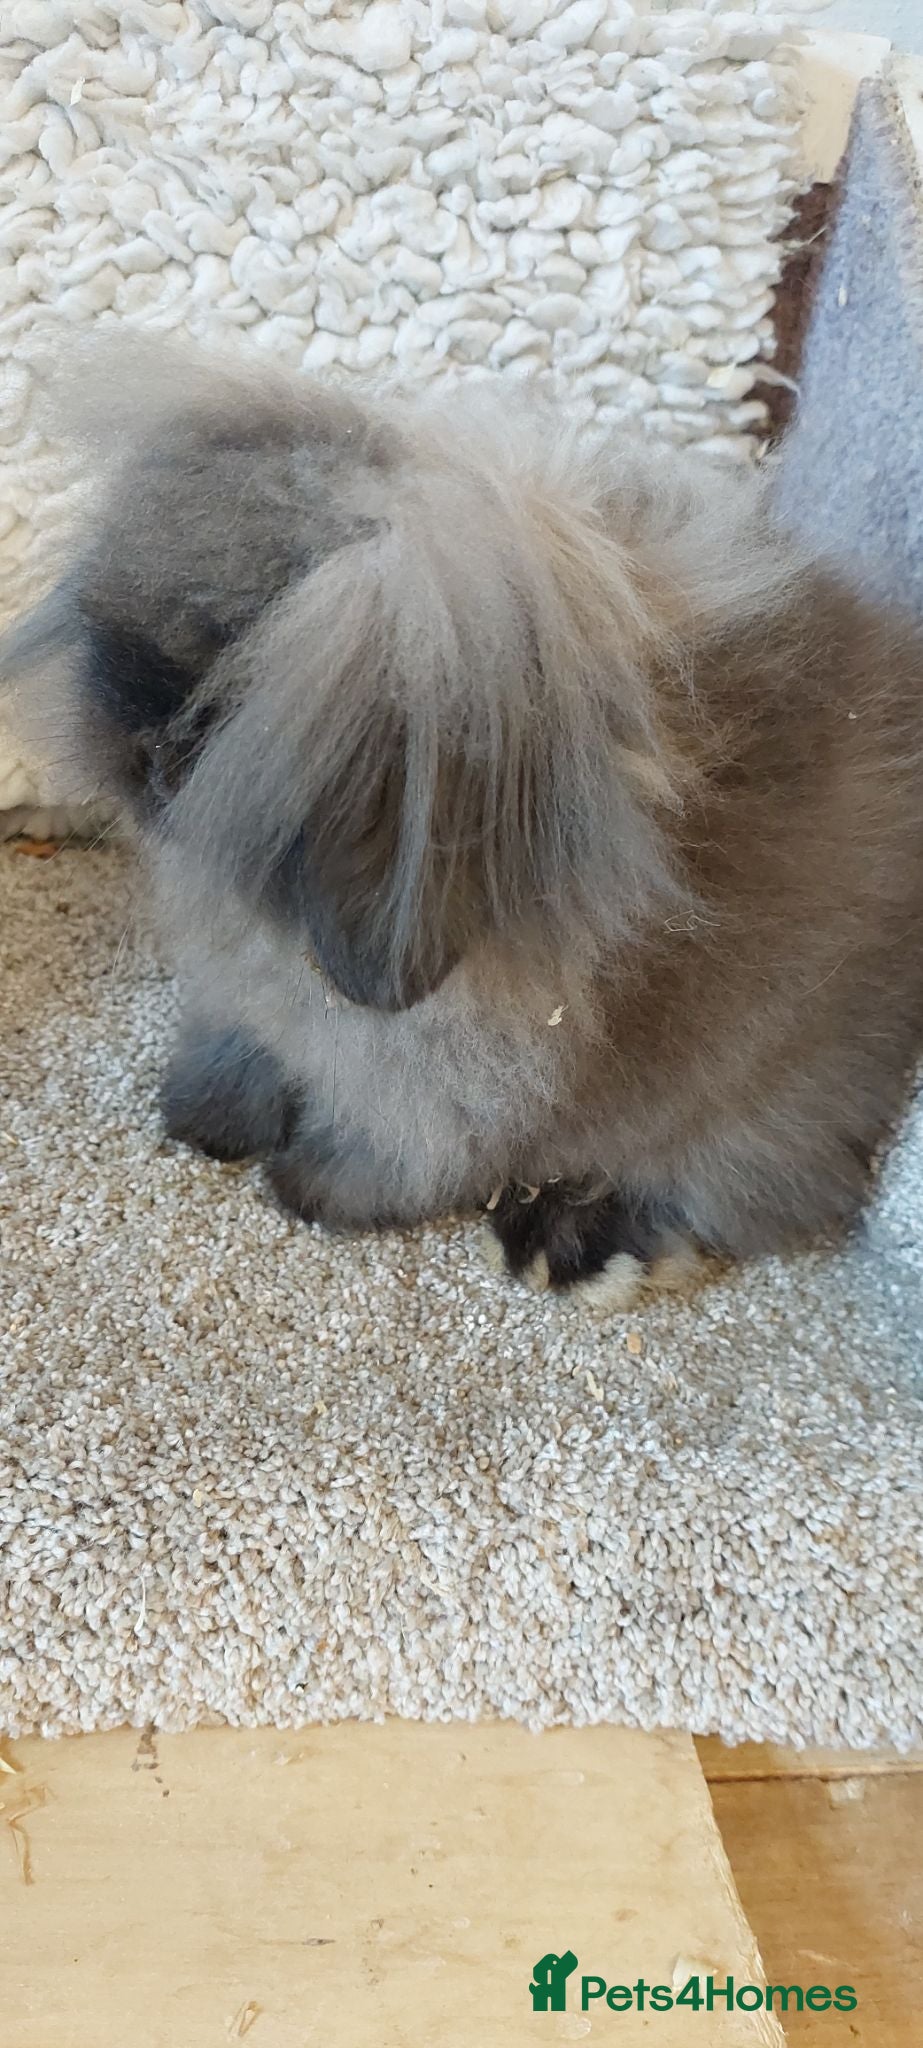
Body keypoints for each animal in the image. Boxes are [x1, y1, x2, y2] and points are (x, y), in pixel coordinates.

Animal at [4, 334, 923, 1311]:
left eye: (231, 699)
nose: (130, 755)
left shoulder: (444, 1086)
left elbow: (398, 1150)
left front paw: (310, 1191)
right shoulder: (245, 1007)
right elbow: (242, 1054)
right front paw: (201, 1125)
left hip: (759, 1110)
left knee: (718, 1193)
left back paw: (563, 1246)